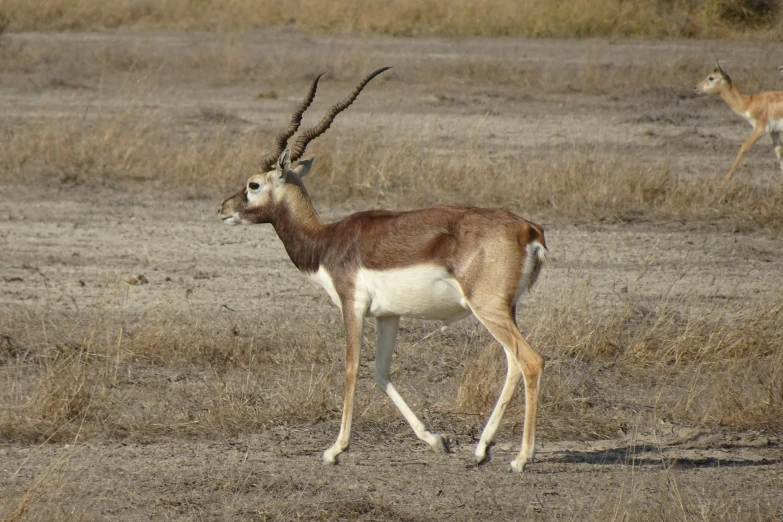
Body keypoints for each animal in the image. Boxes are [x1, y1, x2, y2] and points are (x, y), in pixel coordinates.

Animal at [220, 67, 548, 470]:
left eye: (253, 184)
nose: (223, 208)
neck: (328, 240)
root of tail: (527, 229)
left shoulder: (352, 306)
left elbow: (351, 368)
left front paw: (334, 450)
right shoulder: (388, 315)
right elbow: (381, 372)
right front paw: (436, 440)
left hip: (488, 309)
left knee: (530, 361)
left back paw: (520, 459)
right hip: (504, 310)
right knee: (512, 363)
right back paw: (482, 449)